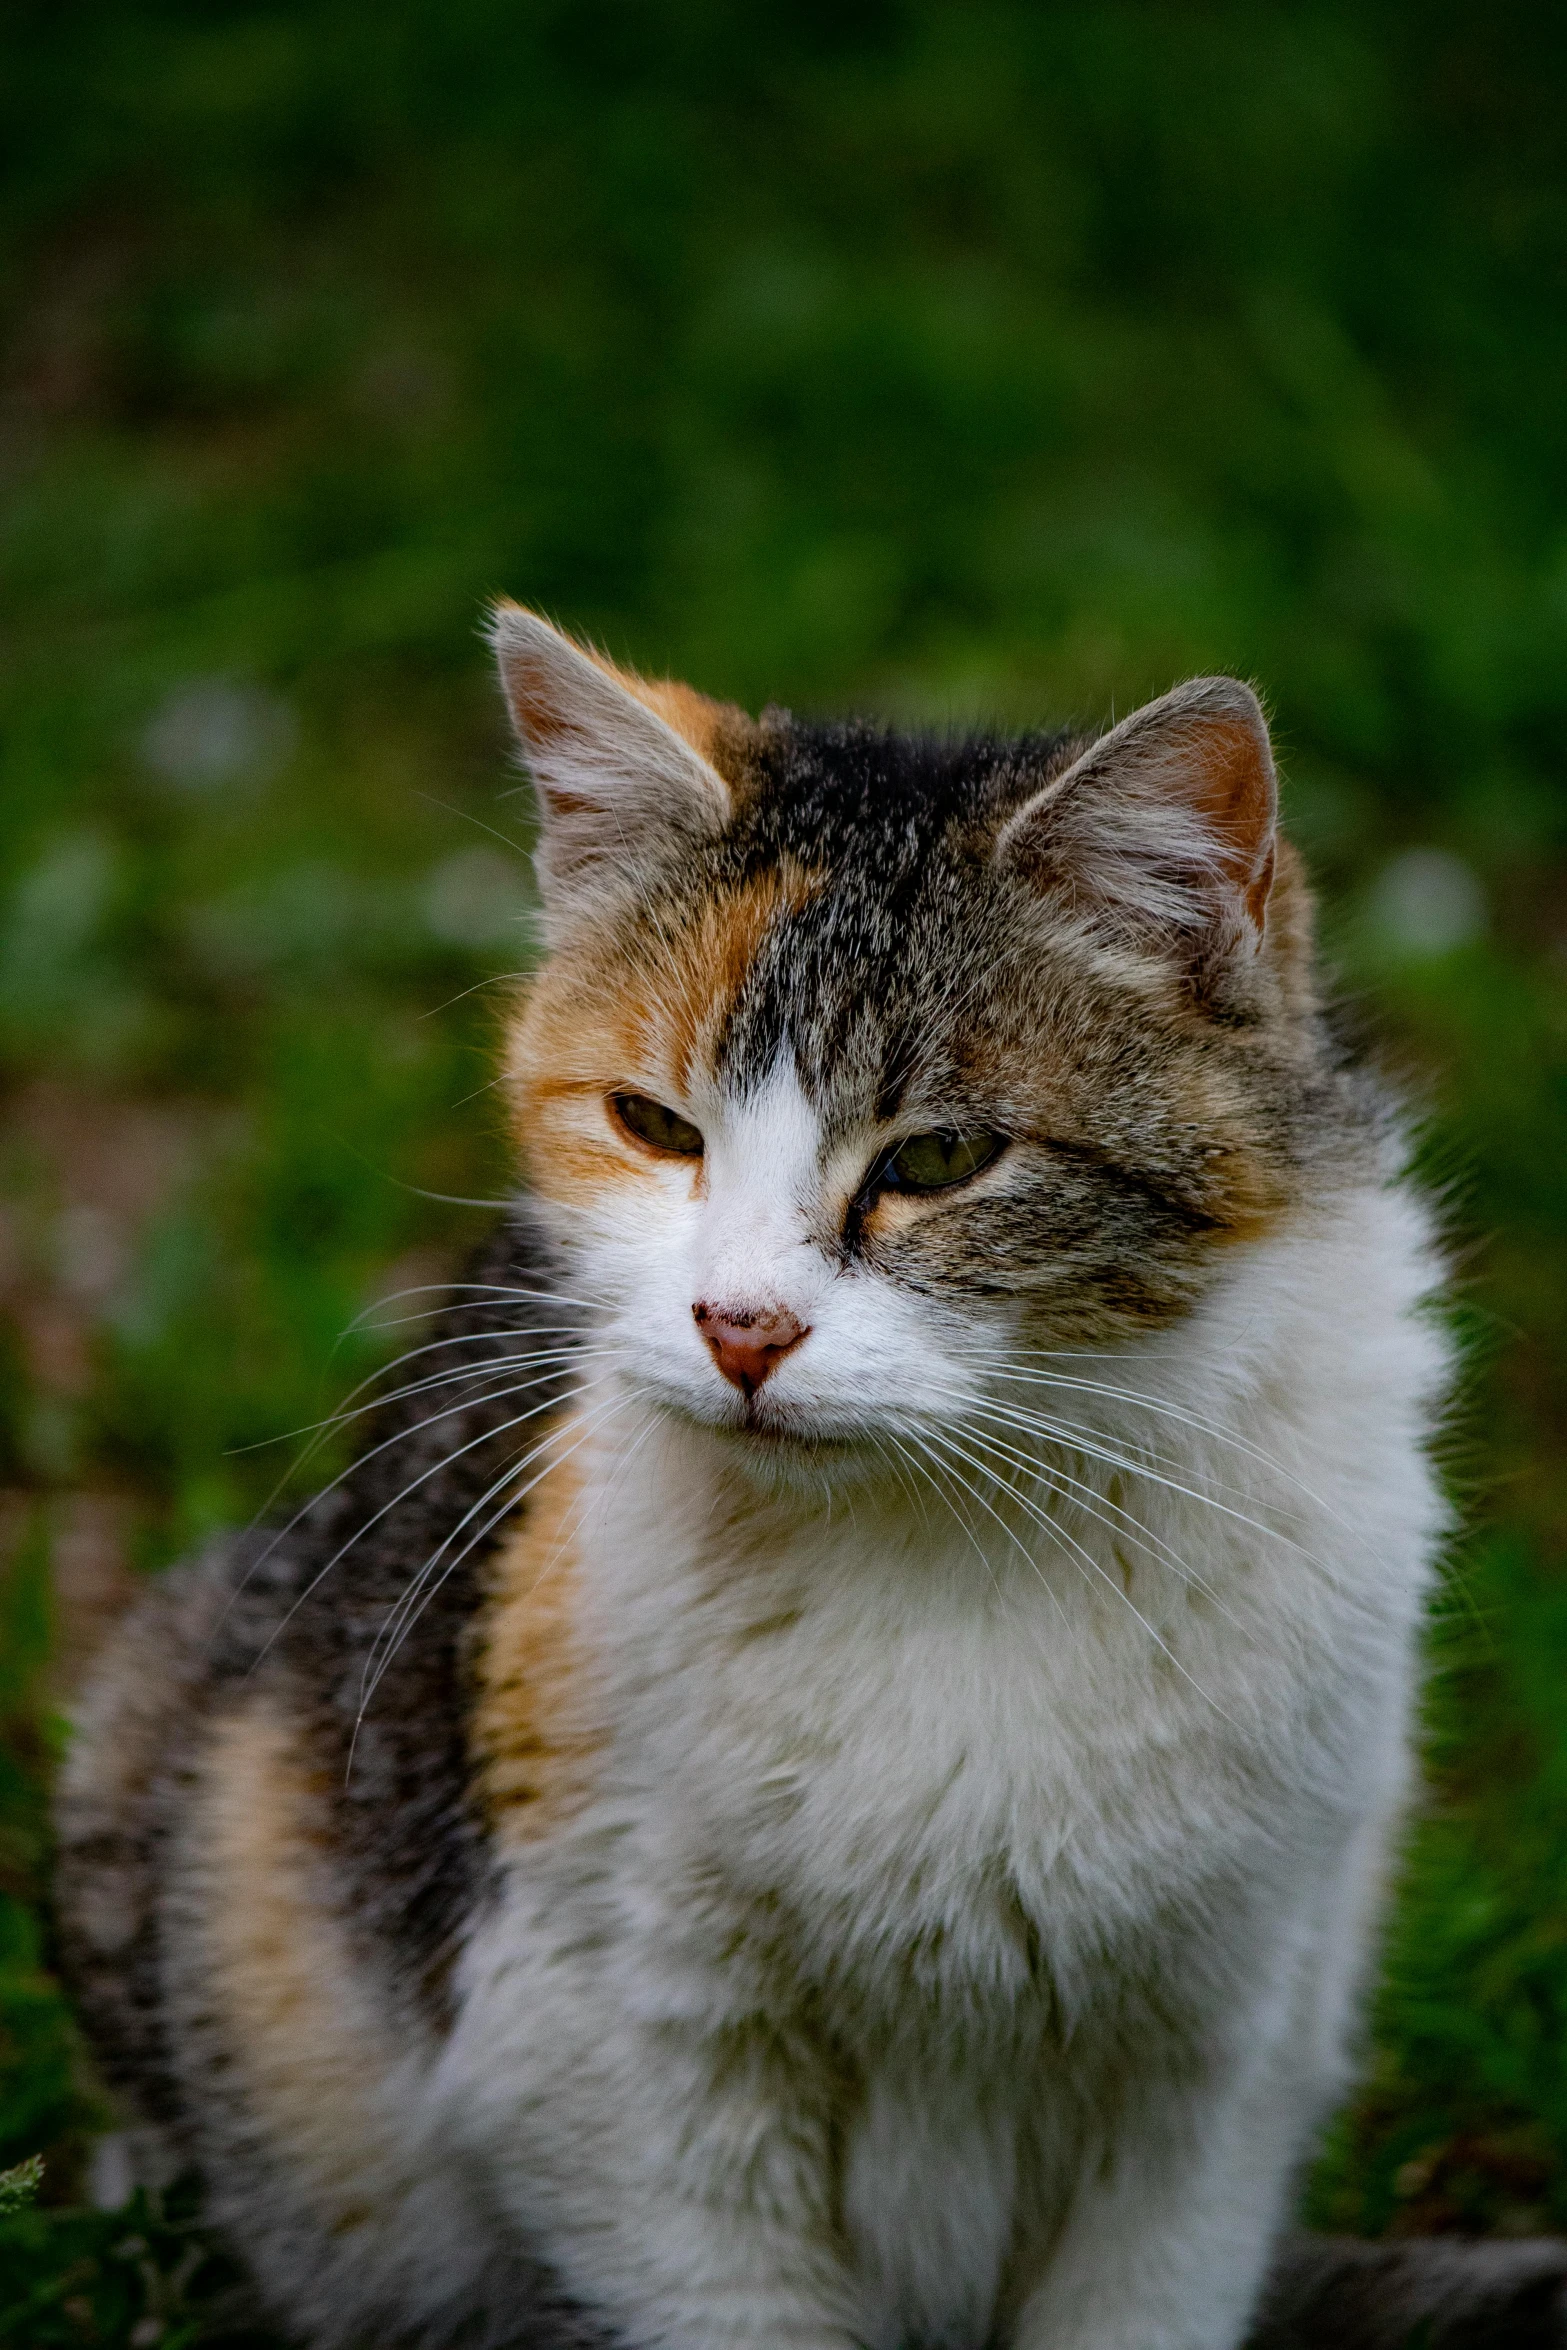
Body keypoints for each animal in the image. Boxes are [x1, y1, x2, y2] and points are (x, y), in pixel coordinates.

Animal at [55, 611, 1465, 2350]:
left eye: (940, 1158)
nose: (738, 1325)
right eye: (651, 1124)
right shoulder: (610, 2042)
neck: (955, 1540)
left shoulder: (1219, 2054)